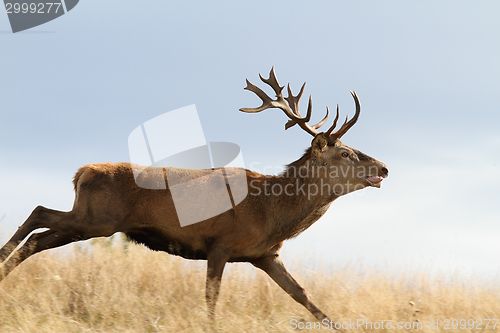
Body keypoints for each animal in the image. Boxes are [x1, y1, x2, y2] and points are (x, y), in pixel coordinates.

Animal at [0, 67, 386, 322]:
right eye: (346, 153)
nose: (383, 168)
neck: (272, 212)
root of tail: (82, 172)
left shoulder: (265, 255)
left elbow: (304, 296)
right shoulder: (221, 243)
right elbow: (212, 299)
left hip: (89, 222)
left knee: (39, 238)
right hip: (96, 219)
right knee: (39, 213)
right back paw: (2, 262)